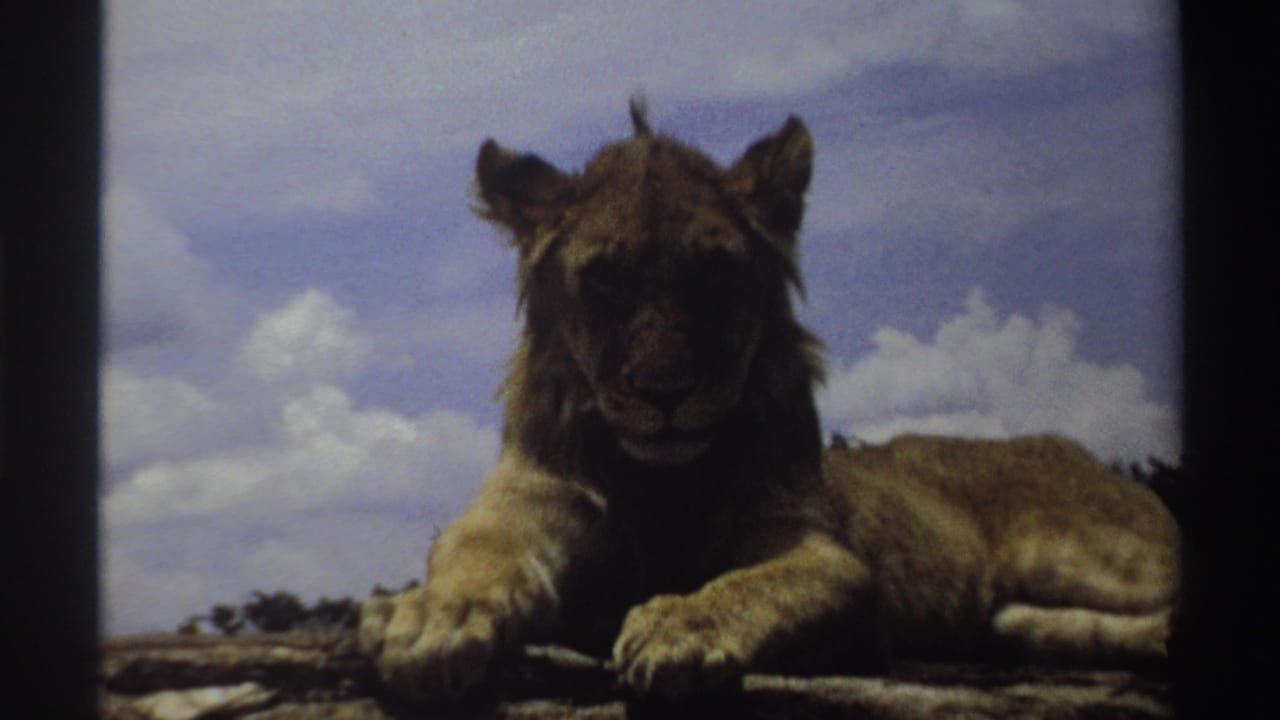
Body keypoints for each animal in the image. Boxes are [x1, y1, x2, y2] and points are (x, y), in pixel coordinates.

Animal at [358, 102, 1179, 702]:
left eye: (716, 273)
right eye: (604, 278)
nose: (665, 394)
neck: (657, 480)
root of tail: (1071, 447)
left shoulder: (823, 552)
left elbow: (763, 582)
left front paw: (681, 624)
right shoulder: (526, 505)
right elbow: (476, 556)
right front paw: (426, 615)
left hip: (1092, 552)